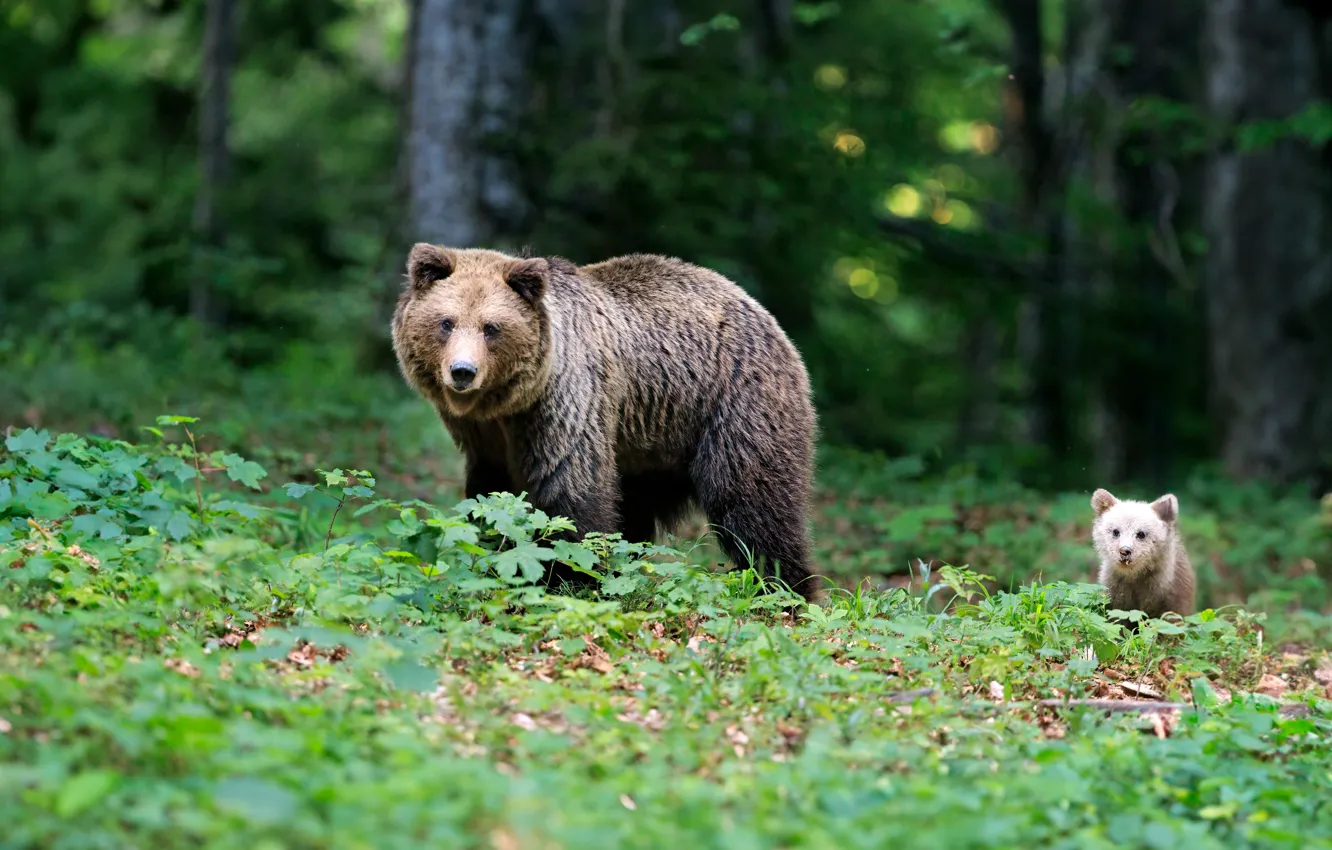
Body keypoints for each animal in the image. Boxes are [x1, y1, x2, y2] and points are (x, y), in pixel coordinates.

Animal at [391, 243, 821, 600]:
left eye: (491, 327)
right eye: (446, 322)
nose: (462, 372)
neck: (506, 406)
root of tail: (767, 317)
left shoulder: (563, 405)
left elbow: (570, 495)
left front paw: (568, 578)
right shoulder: (485, 441)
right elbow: (491, 497)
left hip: (734, 406)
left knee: (752, 504)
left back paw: (784, 589)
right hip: (650, 446)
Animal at [1090, 488, 1196, 625]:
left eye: (1141, 533)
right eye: (1115, 531)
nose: (1124, 551)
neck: (1135, 575)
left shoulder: (1170, 594)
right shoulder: (1116, 590)